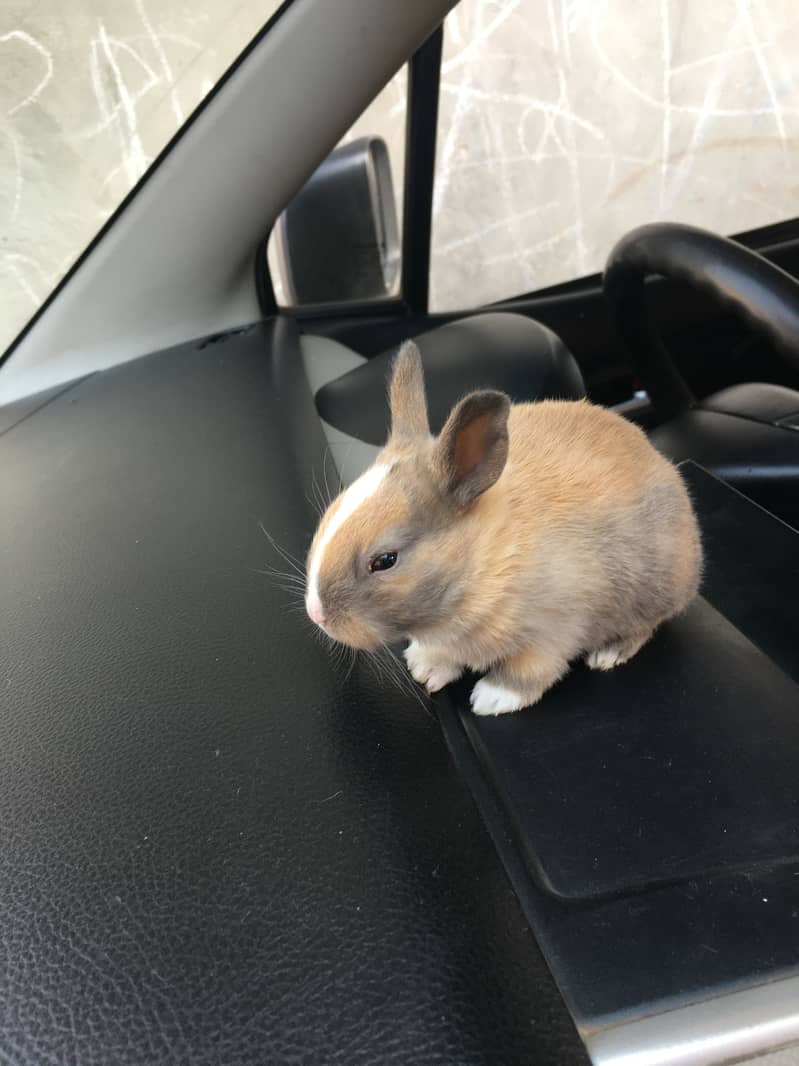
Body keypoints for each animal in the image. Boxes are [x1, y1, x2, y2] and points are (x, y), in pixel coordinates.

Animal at [302, 338, 703, 716]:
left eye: (385, 560)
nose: (315, 614)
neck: (481, 563)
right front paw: (424, 668)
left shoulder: (553, 632)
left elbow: (531, 671)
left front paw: (492, 699)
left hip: (654, 590)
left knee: (647, 625)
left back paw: (609, 653)